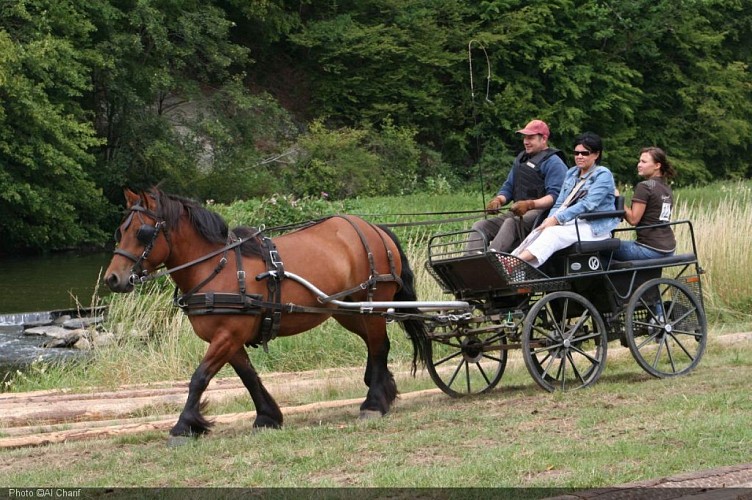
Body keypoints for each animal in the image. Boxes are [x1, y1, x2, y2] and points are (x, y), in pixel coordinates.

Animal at [104, 188, 428, 442]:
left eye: (142, 232)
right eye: (121, 231)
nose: (112, 279)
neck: (216, 267)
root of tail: (374, 228)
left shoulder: (227, 335)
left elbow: (199, 377)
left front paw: (184, 426)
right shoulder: (230, 338)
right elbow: (249, 376)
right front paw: (267, 417)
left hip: (372, 305)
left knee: (379, 345)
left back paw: (374, 403)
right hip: (346, 310)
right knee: (374, 346)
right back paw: (382, 388)